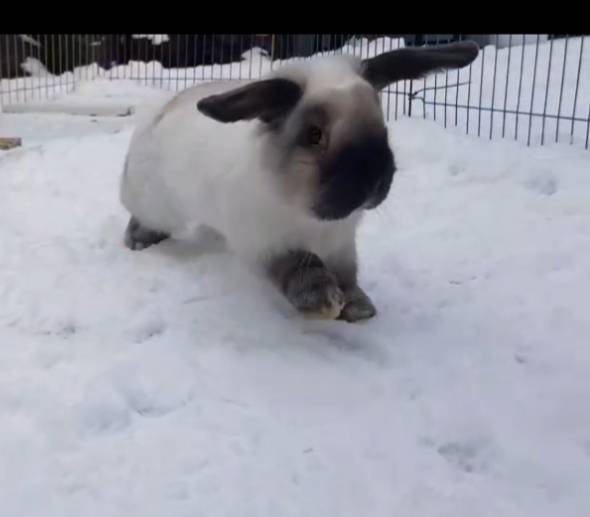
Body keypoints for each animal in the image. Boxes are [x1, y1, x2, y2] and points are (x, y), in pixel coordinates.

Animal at [120, 41, 479, 322]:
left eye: (381, 120)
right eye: (314, 134)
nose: (372, 179)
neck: (305, 210)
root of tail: (162, 111)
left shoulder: (343, 245)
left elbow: (348, 275)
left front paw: (359, 308)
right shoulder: (266, 244)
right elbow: (300, 269)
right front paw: (324, 303)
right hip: (156, 203)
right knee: (142, 217)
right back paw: (138, 241)